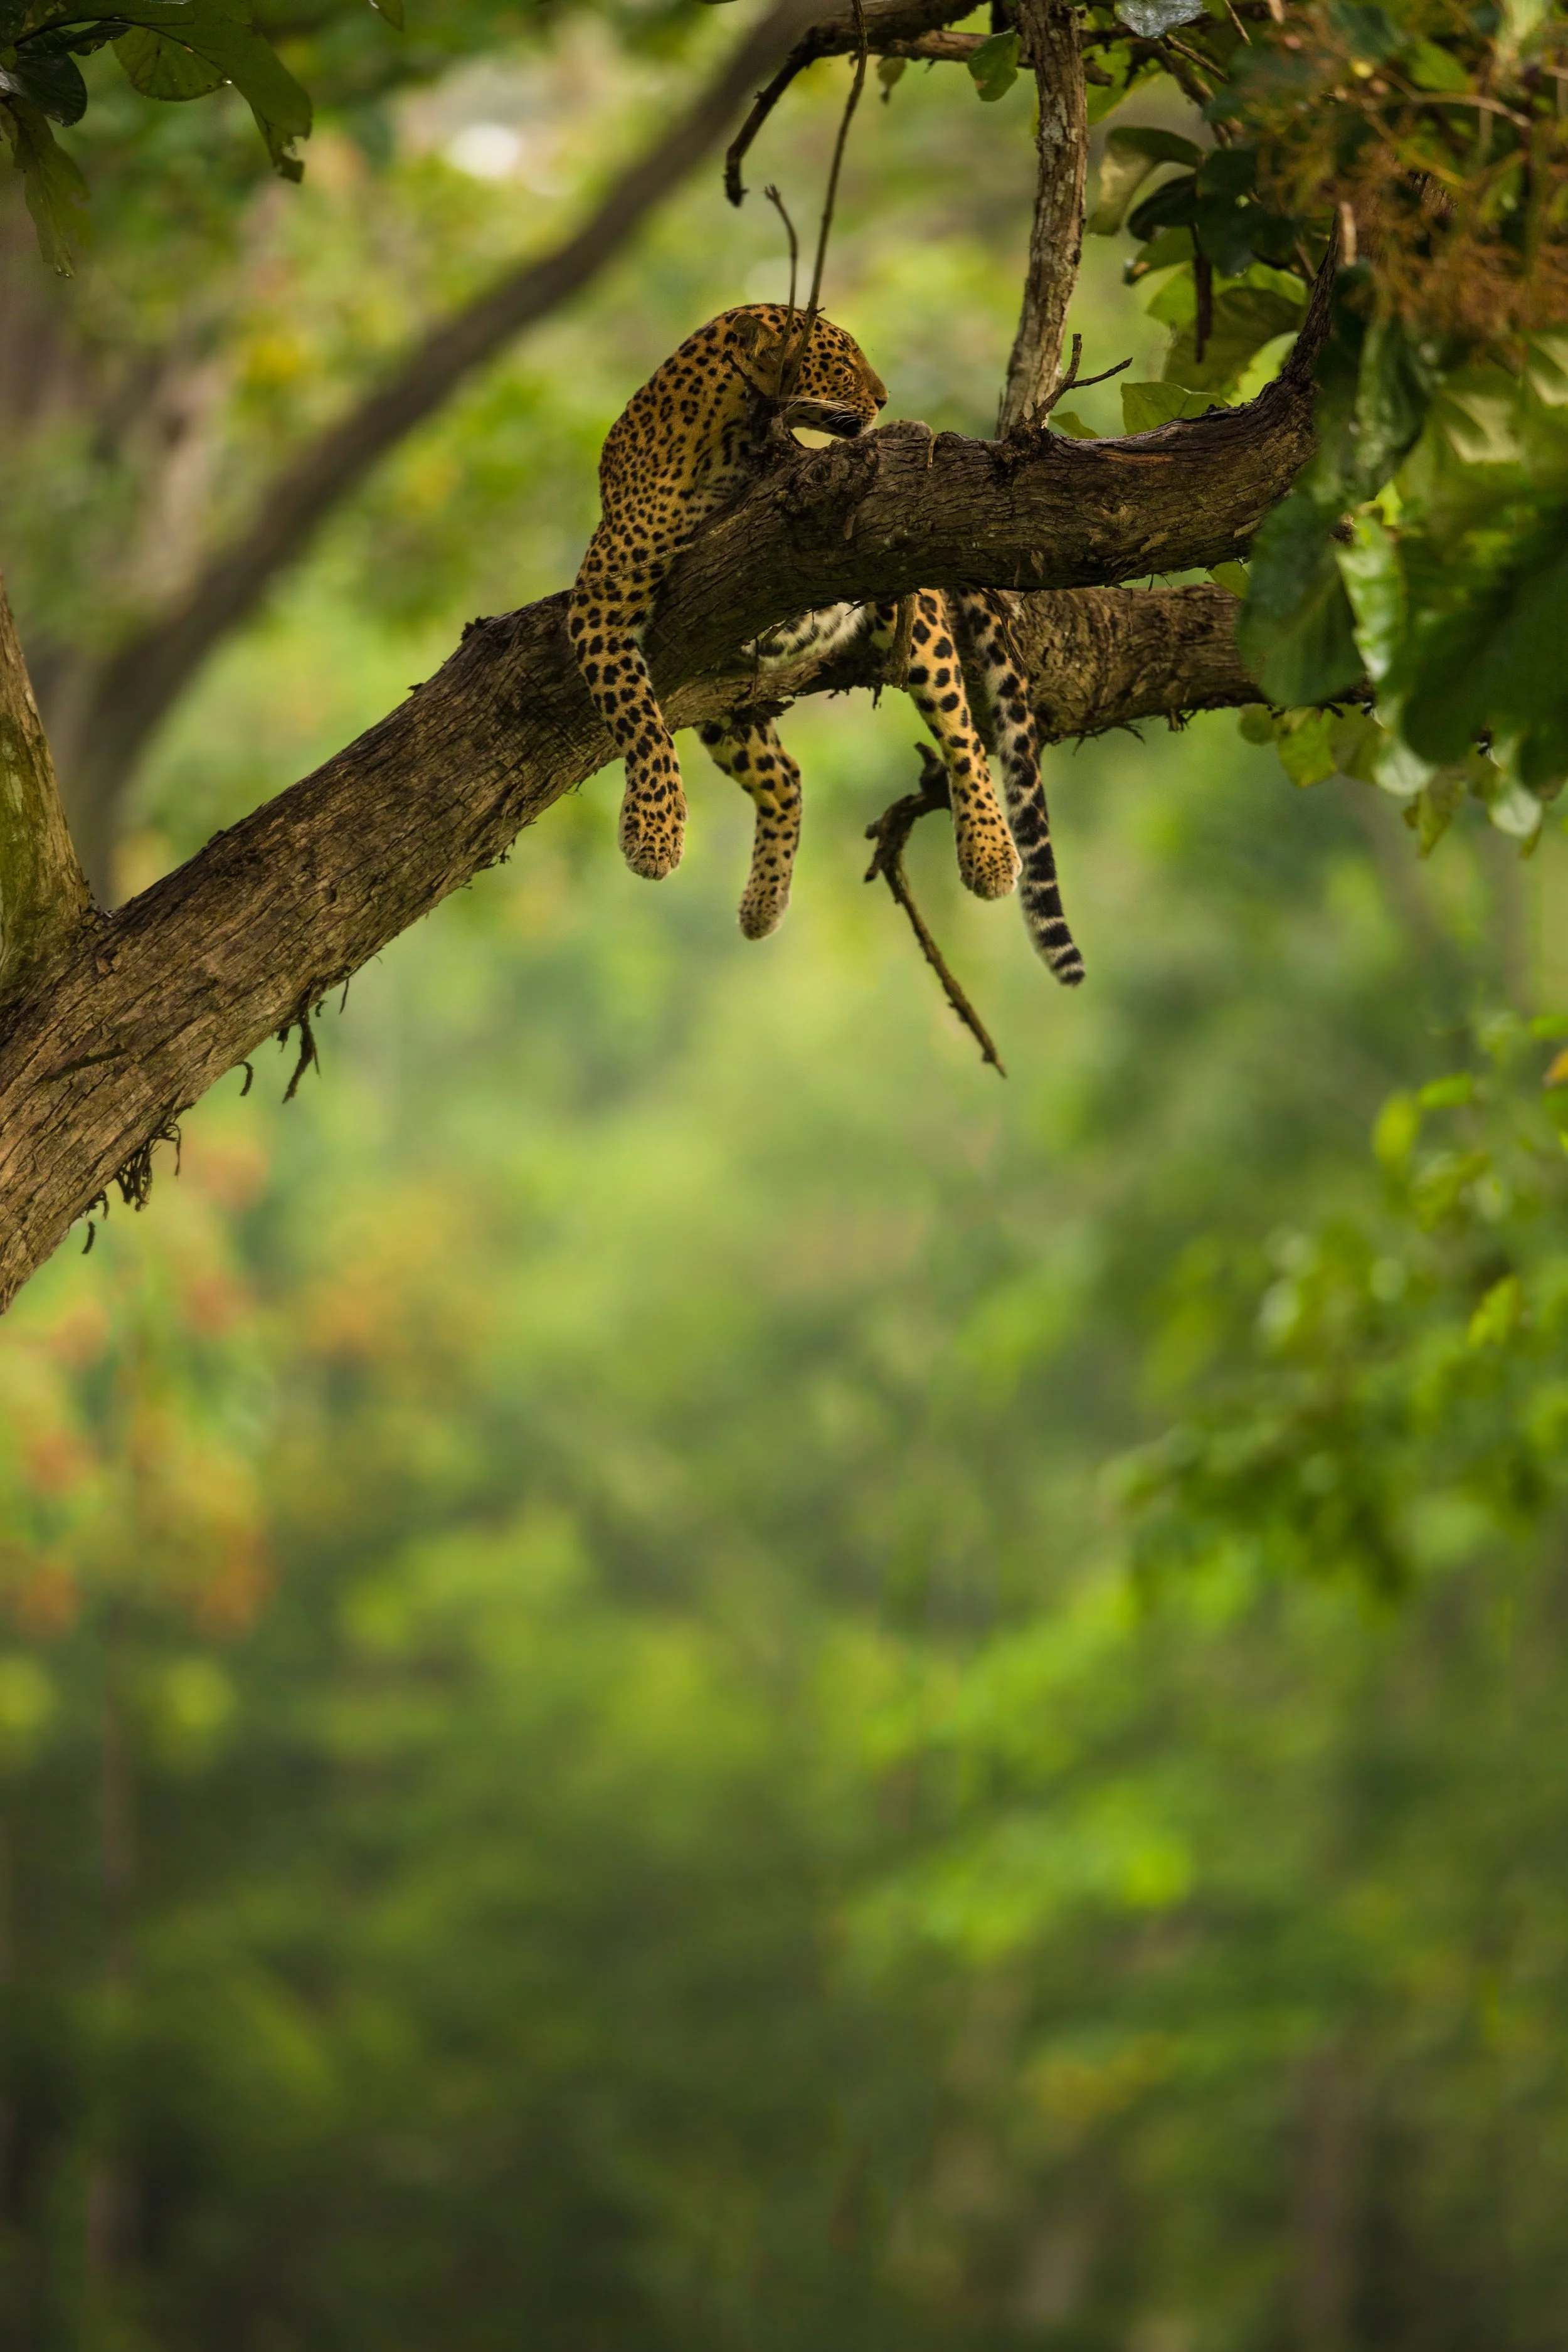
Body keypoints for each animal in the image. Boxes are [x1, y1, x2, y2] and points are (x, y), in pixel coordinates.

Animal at [568, 303, 1083, 985]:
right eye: (841, 360)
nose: (884, 398)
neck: (718, 444)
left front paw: (651, 835)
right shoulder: (600, 608)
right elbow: (641, 723)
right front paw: (657, 832)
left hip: (910, 619)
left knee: (964, 736)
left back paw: (990, 854)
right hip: (721, 707)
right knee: (783, 776)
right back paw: (762, 907)